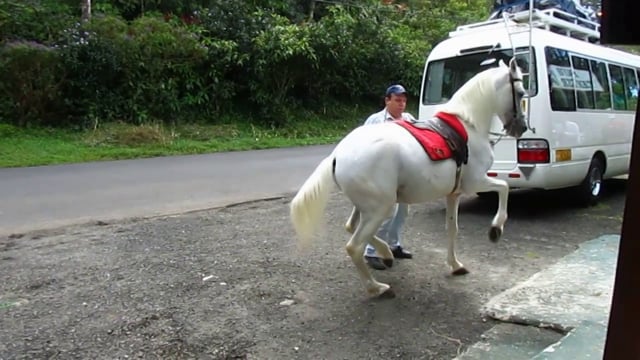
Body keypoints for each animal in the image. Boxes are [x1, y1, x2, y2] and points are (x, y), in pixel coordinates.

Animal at [292, 57, 528, 296]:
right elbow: (504, 187)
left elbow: (452, 229)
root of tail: (337, 155)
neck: (468, 125)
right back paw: (377, 287)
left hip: (366, 208)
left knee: (351, 227)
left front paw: (455, 265)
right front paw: (496, 229)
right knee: (354, 246)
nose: (521, 128)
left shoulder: (454, 194)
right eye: (520, 92)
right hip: (381, 208)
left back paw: (386, 255)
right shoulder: (476, 182)